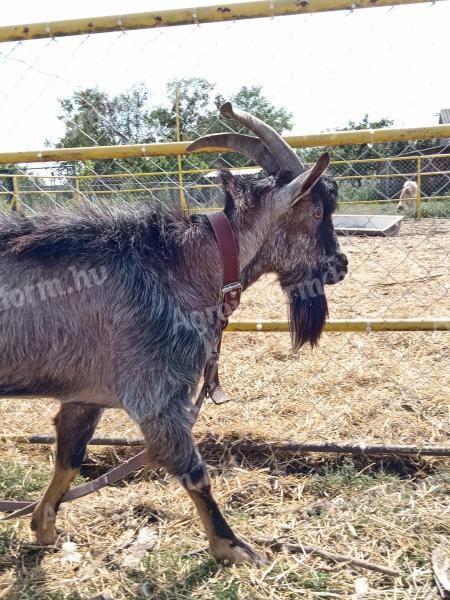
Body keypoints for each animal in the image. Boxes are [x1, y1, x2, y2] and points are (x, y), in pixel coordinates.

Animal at [0, 103, 348, 564]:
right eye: (316, 212)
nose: (341, 265)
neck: (180, 266)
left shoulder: (84, 395)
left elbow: (70, 458)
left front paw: (43, 527)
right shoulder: (156, 394)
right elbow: (194, 473)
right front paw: (233, 547)